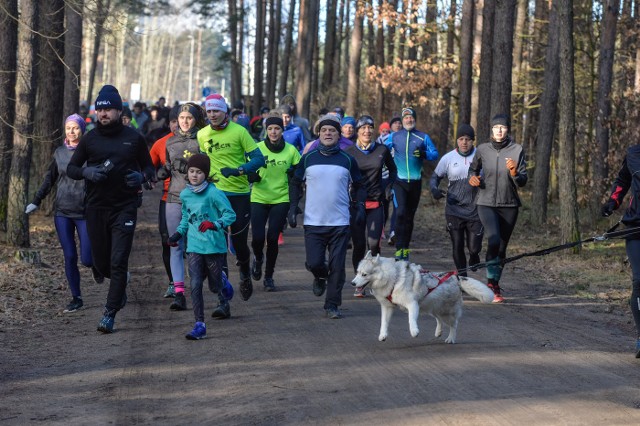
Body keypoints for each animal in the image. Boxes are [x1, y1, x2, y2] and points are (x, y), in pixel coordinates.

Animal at [350, 251, 496, 344]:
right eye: (357, 272)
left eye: (364, 274)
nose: (352, 283)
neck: (394, 278)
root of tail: (456, 277)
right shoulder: (388, 307)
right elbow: (384, 322)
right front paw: (383, 335)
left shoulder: (412, 304)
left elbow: (411, 320)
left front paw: (414, 331)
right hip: (432, 308)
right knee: (439, 320)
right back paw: (438, 332)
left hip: (446, 312)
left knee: (454, 324)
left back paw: (451, 338)